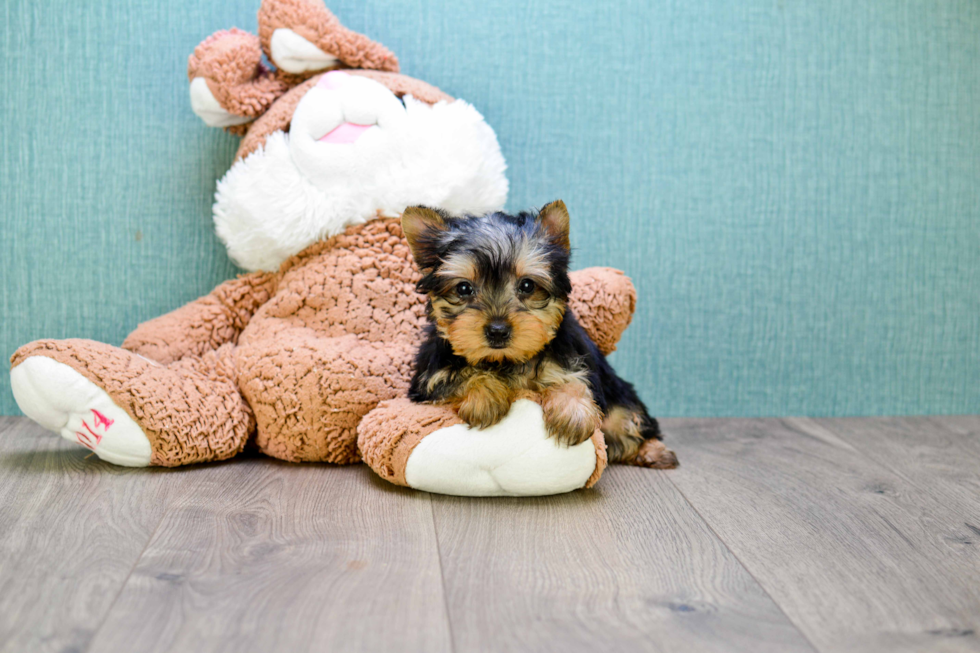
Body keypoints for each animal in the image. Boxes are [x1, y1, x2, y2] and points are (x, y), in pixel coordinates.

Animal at [402, 201, 676, 466]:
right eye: (463, 288)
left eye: (527, 285)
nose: (497, 331)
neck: (505, 360)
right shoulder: (429, 377)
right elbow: (459, 376)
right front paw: (485, 396)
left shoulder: (570, 357)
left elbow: (571, 378)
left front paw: (573, 413)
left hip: (619, 396)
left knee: (628, 421)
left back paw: (654, 452)